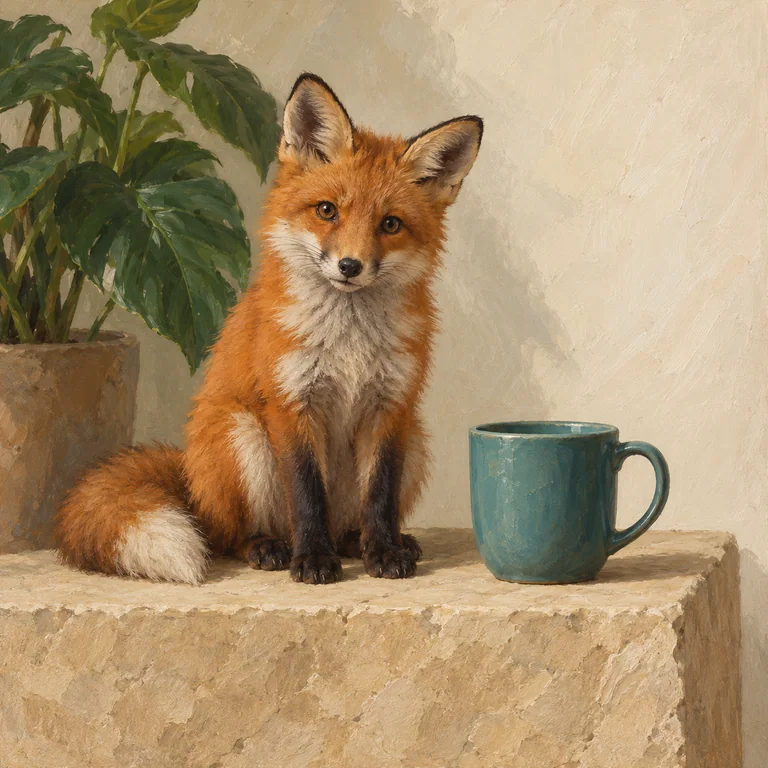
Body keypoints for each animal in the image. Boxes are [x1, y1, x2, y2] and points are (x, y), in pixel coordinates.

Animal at [55, 73, 482, 586]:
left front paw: (383, 551)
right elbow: (306, 493)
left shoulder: (392, 407)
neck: (349, 342)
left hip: (415, 438)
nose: (350, 266)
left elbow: (379, 495)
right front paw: (313, 559)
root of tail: (189, 474)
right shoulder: (290, 402)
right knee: (226, 536)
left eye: (391, 224)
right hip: (242, 436)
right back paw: (270, 547)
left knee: (350, 521)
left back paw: (366, 542)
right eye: (327, 211)